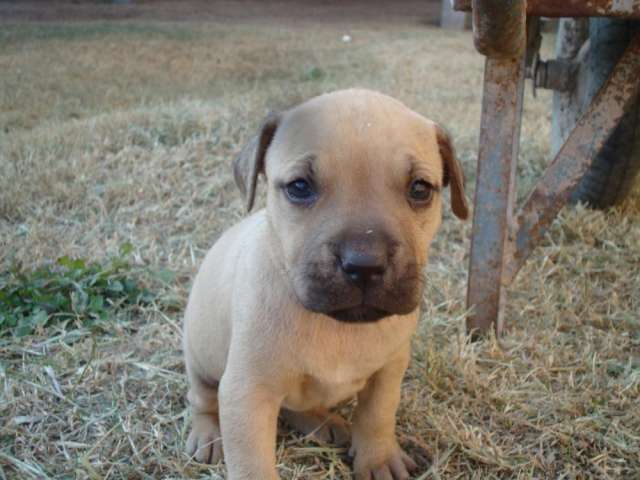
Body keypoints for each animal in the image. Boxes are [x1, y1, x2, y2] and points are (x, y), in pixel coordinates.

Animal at [182, 88, 468, 478]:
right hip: (200, 358)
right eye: (300, 187)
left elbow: (377, 414)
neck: (337, 326)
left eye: (420, 189)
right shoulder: (247, 392)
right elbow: (253, 464)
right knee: (202, 399)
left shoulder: (390, 369)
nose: (365, 264)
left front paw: (378, 458)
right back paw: (208, 433)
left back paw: (324, 423)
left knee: (295, 406)